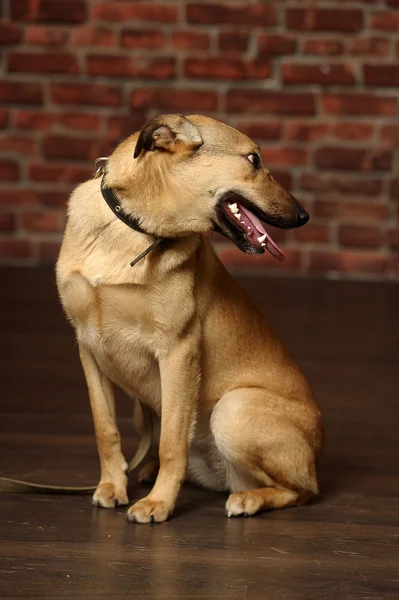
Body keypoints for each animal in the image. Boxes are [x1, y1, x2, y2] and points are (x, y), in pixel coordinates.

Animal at [56, 115, 324, 524]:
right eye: (254, 159)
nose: (303, 216)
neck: (132, 228)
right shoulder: (89, 350)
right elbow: (106, 430)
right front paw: (113, 485)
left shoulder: (177, 353)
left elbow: (171, 443)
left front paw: (158, 502)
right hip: (146, 410)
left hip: (233, 409)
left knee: (302, 490)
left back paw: (249, 499)